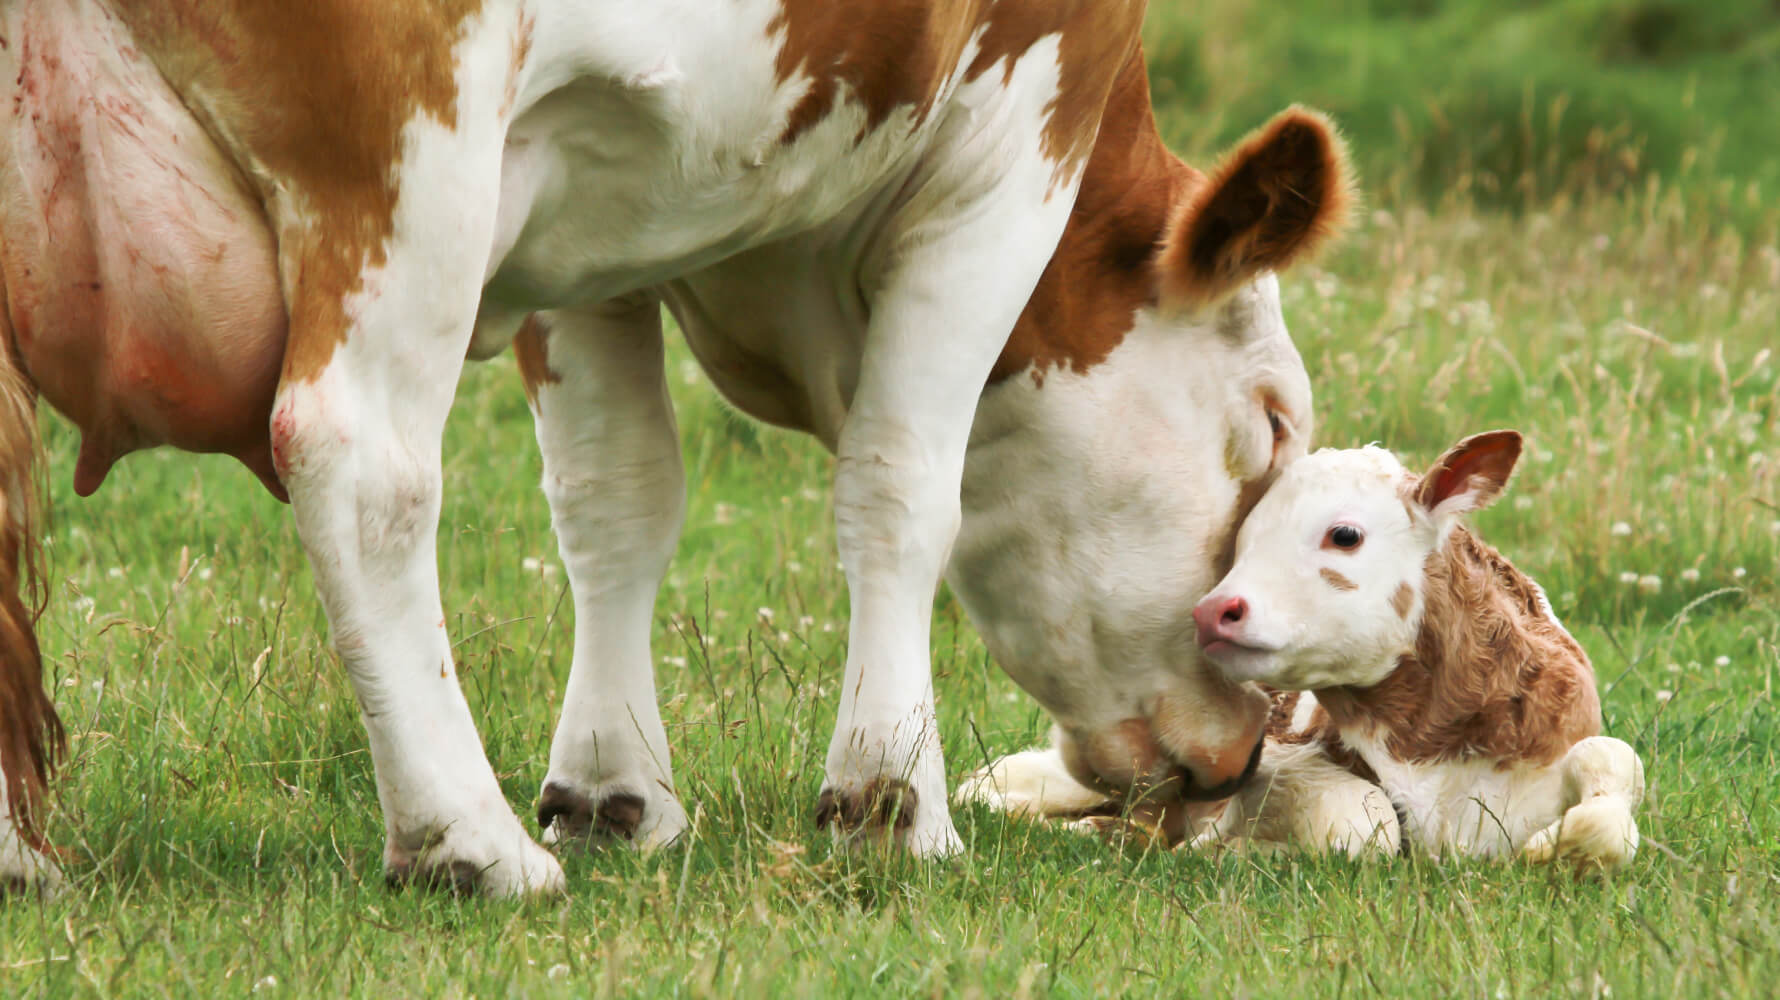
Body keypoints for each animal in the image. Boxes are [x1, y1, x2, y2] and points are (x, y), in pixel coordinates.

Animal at [0, 0, 1348, 896]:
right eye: (1272, 422)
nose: (1250, 744)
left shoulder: (587, 224)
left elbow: (617, 497)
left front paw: (613, 789)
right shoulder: (1013, 144)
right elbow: (904, 487)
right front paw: (891, 799)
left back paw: (20, 856)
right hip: (410, 156)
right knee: (362, 465)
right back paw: (466, 841)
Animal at [964, 432, 1646, 872]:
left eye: (1345, 535)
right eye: (1241, 541)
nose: (1213, 610)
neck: (1434, 744)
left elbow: (1615, 769)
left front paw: (1558, 849)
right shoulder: (1279, 763)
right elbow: (1365, 819)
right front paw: (1230, 850)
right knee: (991, 787)